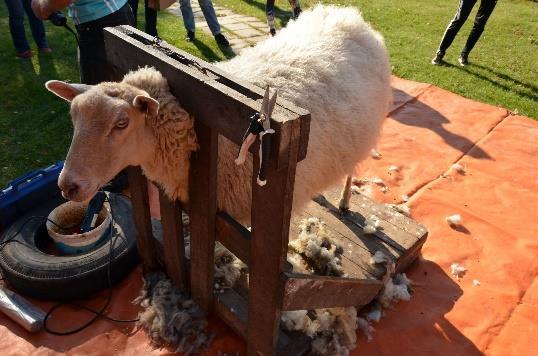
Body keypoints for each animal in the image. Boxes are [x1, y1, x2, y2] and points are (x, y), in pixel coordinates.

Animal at [45, 4, 390, 224]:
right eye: (74, 117)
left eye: (121, 123)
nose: (67, 186)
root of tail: (346, 14)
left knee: (352, 169)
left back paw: (344, 201)